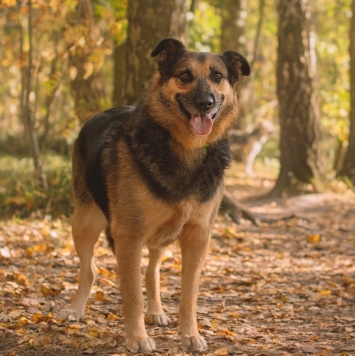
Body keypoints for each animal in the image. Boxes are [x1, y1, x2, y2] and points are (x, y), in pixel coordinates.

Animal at [59, 37, 250, 352]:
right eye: (184, 75)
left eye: (217, 76)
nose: (205, 103)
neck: (185, 149)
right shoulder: (129, 235)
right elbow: (132, 295)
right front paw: (137, 338)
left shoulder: (198, 237)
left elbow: (189, 295)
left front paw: (189, 334)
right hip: (85, 224)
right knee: (90, 270)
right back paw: (76, 309)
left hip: (163, 234)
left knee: (152, 272)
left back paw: (157, 311)